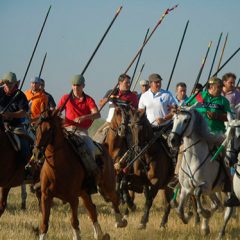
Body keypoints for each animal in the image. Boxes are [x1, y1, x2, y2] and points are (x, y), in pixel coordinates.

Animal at [34, 109, 127, 240]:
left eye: (49, 129)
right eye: (37, 127)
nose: (37, 153)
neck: (58, 167)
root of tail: (104, 147)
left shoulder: (73, 198)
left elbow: (74, 222)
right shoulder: (46, 196)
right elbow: (44, 224)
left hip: (107, 184)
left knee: (114, 198)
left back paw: (120, 221)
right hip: (84, 192)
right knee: (92, 210)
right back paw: (100, 235)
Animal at [168, 108, 233, 238]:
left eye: (186, 120)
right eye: (174, 119)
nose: (172, 140)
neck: (194, 158)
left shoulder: (205, 186)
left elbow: (197, 194)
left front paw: (204, 213)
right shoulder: (185, 188)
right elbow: (179, 210)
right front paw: (188, 217)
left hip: (227, 190)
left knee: (226, 210)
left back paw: (219, 232)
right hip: (213, 191)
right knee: (217, 204)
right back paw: (205, 228)